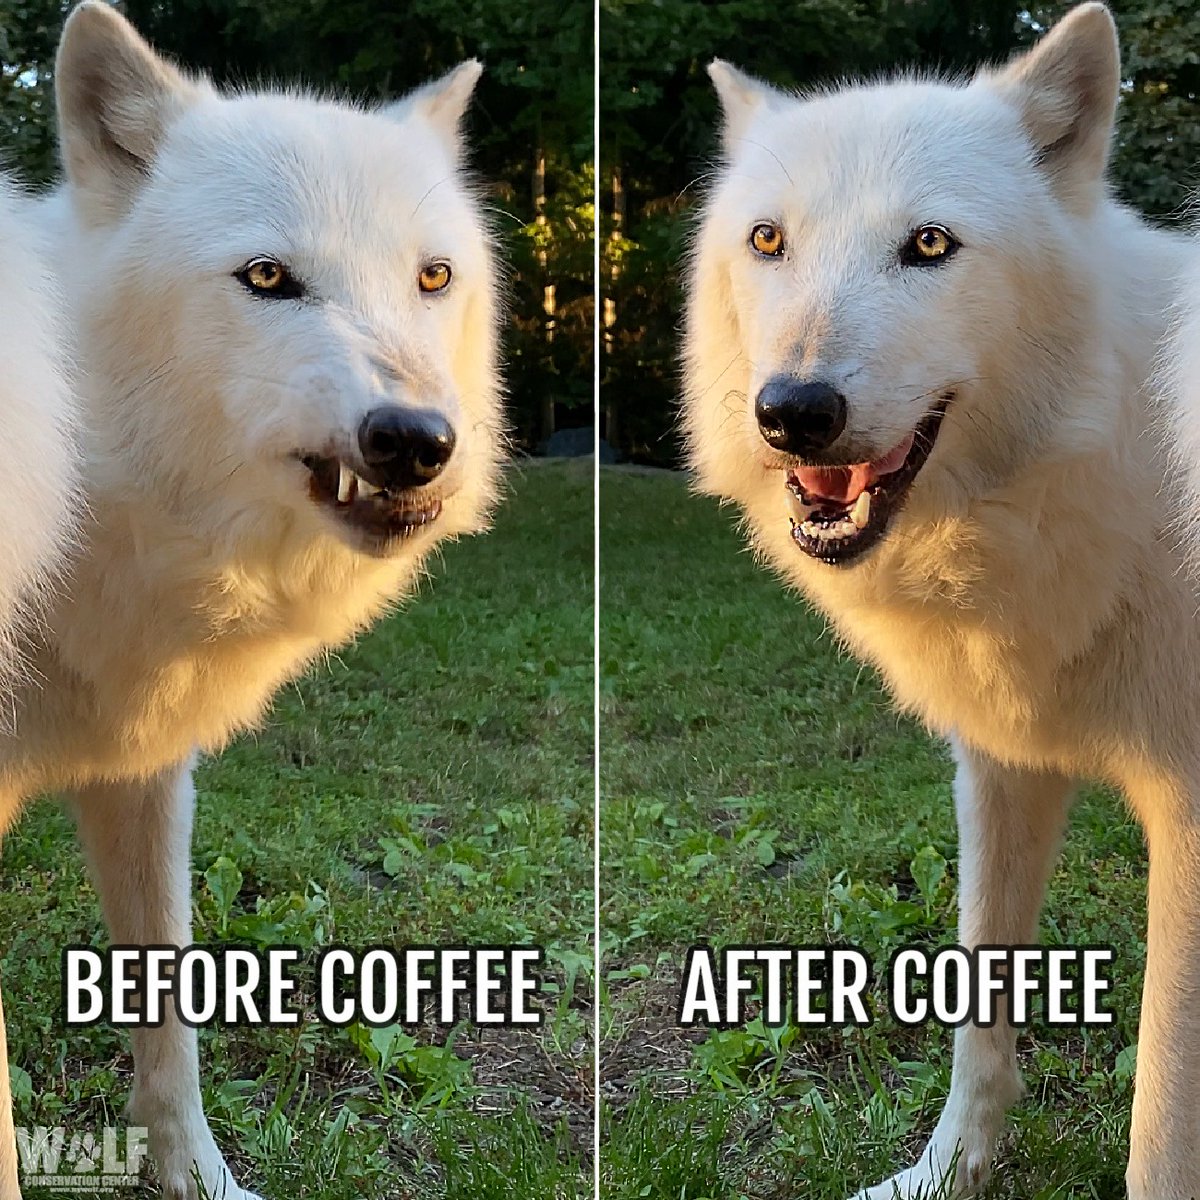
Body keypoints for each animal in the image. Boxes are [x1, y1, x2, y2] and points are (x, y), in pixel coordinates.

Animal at [0, 3, 504, 1197]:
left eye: (434, 277)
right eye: (269, 277)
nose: (418, 442)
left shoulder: (143, 779)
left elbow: (169, 1020)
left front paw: (193, 1178)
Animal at [683, 4, 1200, 1197]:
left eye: (928, 246)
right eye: (768, 241)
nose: (795, 412)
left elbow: (1160, 1116)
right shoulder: (1001, 771)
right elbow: (979, 1019)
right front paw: (948, 1174)